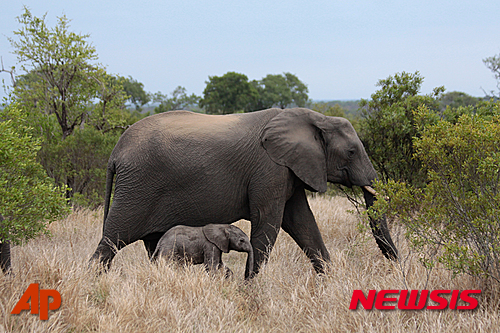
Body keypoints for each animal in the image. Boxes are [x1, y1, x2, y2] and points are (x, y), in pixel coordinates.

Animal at [89, 107, 394, 276]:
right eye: (351, 152)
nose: (395, 267)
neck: (314, 117)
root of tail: (115, 152)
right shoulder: (270, 170)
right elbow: (269, 225)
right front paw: (249, 291)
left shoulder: (289, 169)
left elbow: (303, 224)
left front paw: (329, 284)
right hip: (137, 189)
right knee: (111, 241)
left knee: (152, 246)